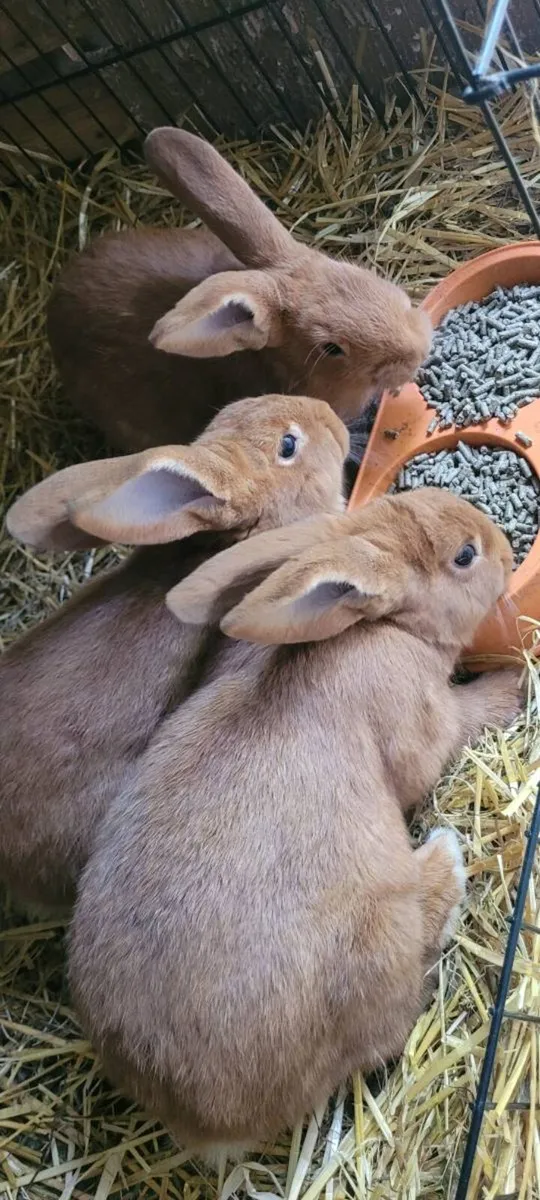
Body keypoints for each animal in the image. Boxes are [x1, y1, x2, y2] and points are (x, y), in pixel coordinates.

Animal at [68, 487, 523, 1161]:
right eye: (466, 556)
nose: (508, 549)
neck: (385, 626)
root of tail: (202, 1120)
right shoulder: (428, 724)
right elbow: (460, 723)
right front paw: (514, 687)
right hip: (378, 941)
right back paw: (445, 859)